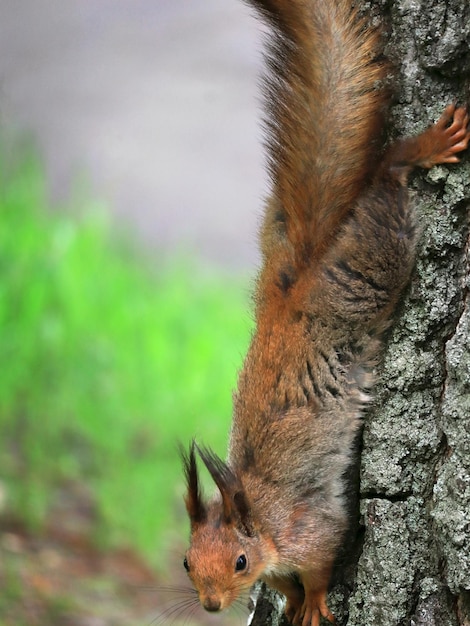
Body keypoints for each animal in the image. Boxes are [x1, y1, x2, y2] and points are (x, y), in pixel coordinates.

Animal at [180, 1, 470, 624]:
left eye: (239, 562)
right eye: (187, 562)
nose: (212, 606)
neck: (261, 517)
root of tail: (295, 286)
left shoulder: (311, 529)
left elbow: (319, 565)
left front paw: (311, 602)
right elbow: (285, 585)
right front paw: (290, 602)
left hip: (372, 266)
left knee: (385, 177)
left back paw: (419, 150)